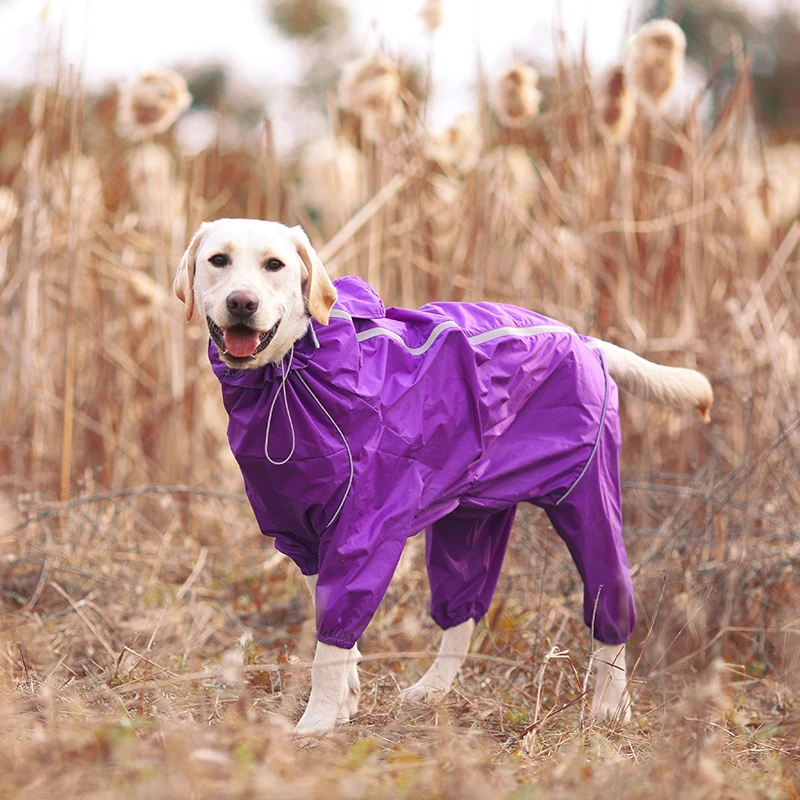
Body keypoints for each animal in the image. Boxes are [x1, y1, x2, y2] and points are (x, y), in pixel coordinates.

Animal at [173, 216, 712, 736]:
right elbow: (335, 634)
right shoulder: (301, 537)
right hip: (468, 521)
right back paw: (432, 690)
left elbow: (332, 641)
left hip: (588, 500)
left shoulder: (363, 532)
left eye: (275, 265)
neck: (291, 373)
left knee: (610, 608)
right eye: (218, 260)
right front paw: (347, 701)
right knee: (463, 615)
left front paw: (317, 722)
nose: (242, 302)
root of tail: (583, 339)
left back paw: (609, 707)